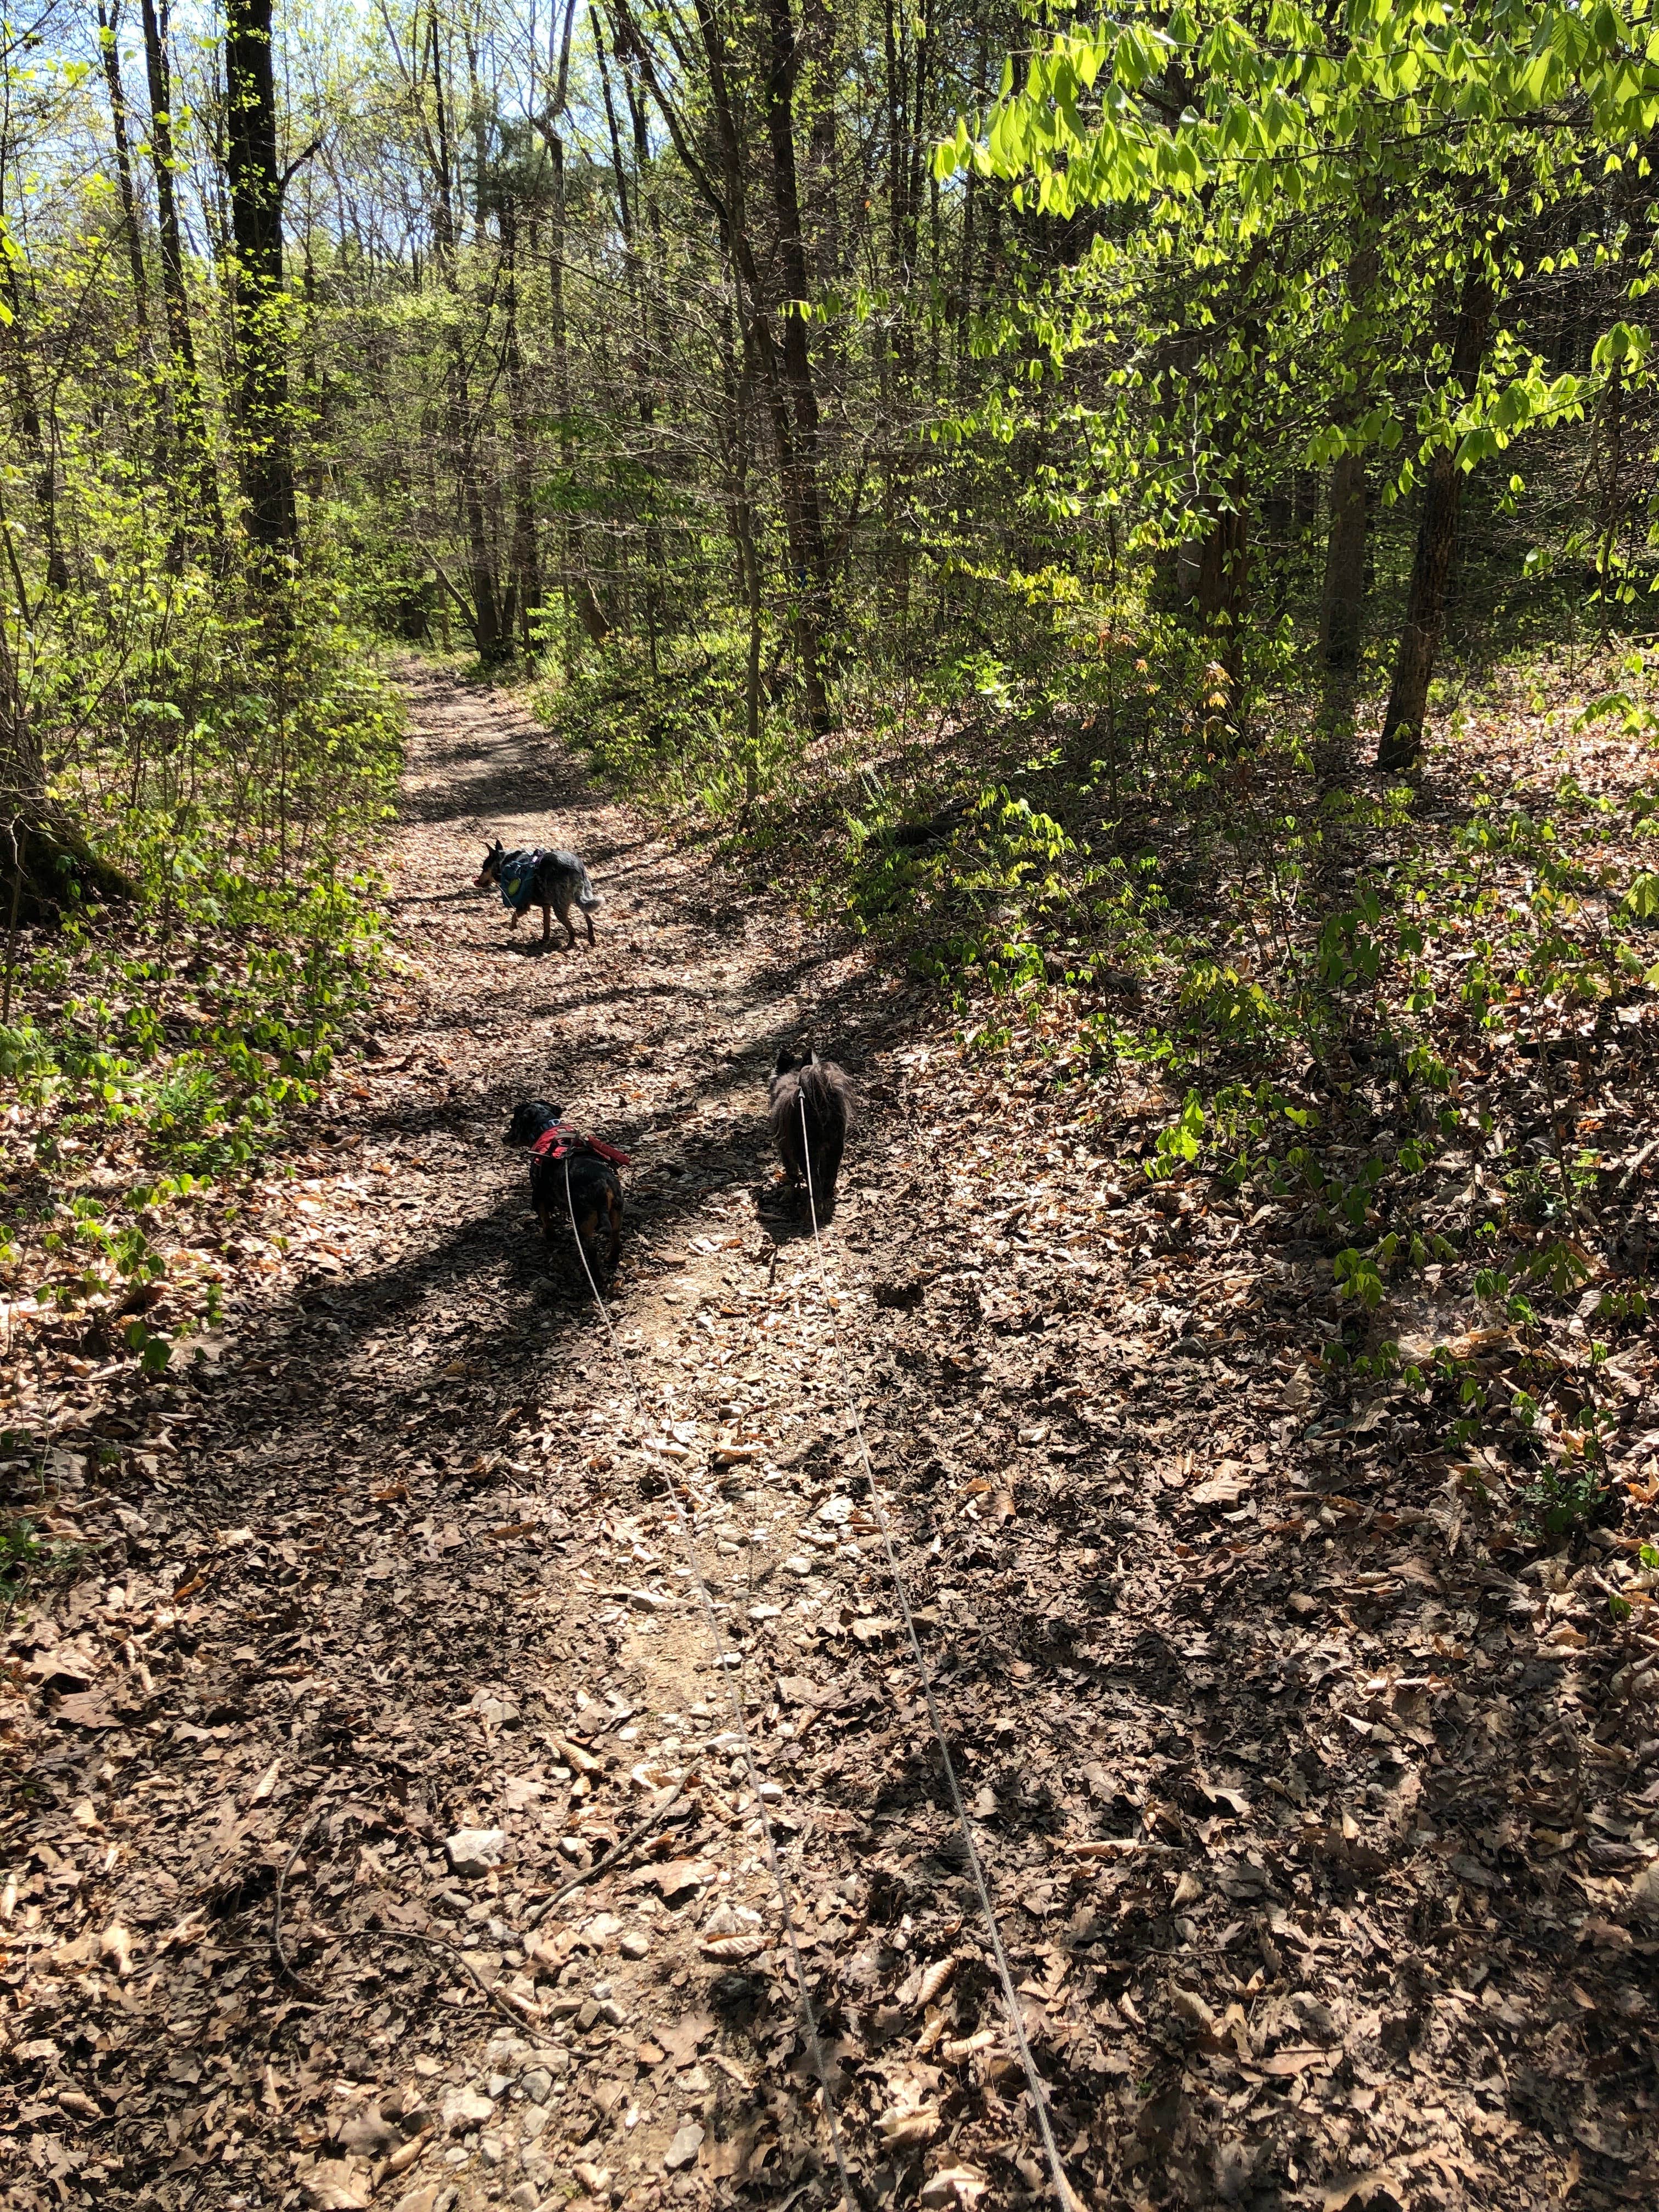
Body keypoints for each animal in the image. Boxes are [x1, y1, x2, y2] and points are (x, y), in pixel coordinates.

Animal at [473, 840, 606, 946]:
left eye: (484, 868)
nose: (477, 880)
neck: (505, 862)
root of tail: (576, 868)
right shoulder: (546, 906)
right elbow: (546, 924)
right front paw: (545, 939)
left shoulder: (524, 906)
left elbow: (514, 915)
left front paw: (513, 927)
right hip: (584, 899)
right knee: (588, 918)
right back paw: (591, 939)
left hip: (560, 909)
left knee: (572, 929)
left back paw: (570, 944)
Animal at [504, 1097, 628, 1291]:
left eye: (513, 1123)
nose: (504, 1138)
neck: (547, 1126)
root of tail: (602, 1188)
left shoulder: (538, 1196)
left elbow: (545, 1219)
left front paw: (549, 1235)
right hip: (616, 1214)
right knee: (616, 1240)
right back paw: (611, 1259)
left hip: (583, 1228)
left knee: (592, 1253)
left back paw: (597, 1277)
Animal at [774, 1048, 858, 1221]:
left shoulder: (784, 1147)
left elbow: (791, 1170)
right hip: (835, 1146)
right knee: (829, 1175)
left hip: (806, 1151)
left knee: (814, 1181)